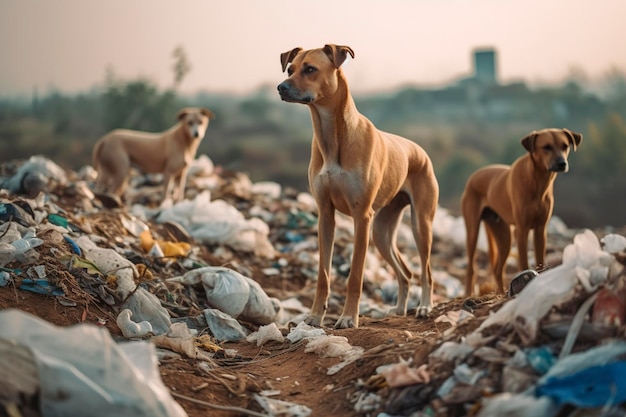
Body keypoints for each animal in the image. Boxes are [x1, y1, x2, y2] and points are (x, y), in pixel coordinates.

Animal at [278, 44, 438, 328]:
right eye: (290, 69)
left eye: (310, 69)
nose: (280, 87)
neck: (332, 136)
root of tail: (420, 151)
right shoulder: (325, 214)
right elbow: (323, 275)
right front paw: (315, 315)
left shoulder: (362, 216)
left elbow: (355, 275)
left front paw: (348, 317)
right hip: (381, 232)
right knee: (406, 273)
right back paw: (399, 309)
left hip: (421, 224)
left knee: (426, 271)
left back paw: (425, 306)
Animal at [458, 128, 580, 294]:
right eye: (546, 147)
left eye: (565, 146)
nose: (562, 163)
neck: (537, 182)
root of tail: (472, 177)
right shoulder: (522, 230)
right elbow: (523, 262)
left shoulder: (540, 229)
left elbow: (540, 258)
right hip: (473, 231)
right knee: (471, 268)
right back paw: (468, 293)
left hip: (504, 235)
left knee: (497, 269)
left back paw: (501, 293)